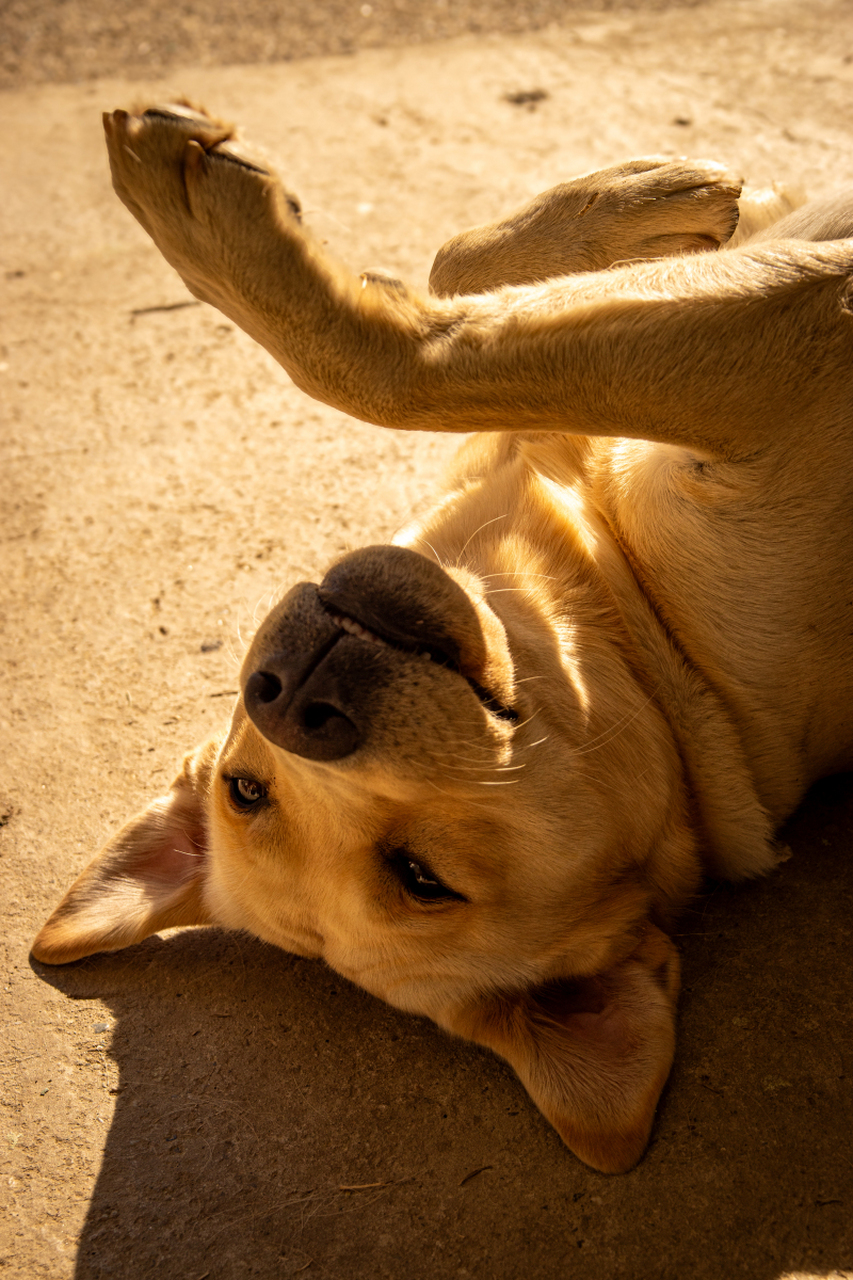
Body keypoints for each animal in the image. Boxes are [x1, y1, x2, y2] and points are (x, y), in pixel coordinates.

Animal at [33, 104, 853, 1172]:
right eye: (422, 878)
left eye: (243, 790)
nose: (294, 703)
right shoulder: (786, 349)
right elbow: (423, 351)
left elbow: (432, 307)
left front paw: (648, 202)